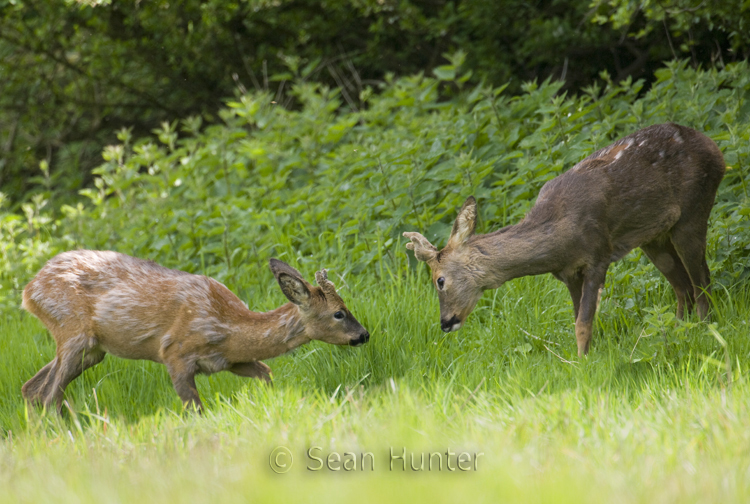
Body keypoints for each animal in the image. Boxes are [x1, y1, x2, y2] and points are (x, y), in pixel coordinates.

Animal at [19, 252, 368, 414]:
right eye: (339, 313)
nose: (364, 335)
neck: (228, 327)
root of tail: (29, 290)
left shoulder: (233, 360)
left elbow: (267, 373)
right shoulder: (175, 354)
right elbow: (195, 409)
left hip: (91, 350)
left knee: (32, 388)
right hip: (73, 332)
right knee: (49, 394)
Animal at [406, 122, 728, 356]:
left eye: (439, 280)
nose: (446, 322)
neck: (559, 238)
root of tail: (715, 147)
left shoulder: (599, 254)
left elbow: (583, 322)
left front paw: (582, 364)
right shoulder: (568, 273)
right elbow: (578, 320)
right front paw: (585, 356)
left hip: (693, 209)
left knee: (702, 281)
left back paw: (705, 330)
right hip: (653, 237)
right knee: (683, 287)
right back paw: (677, 330)